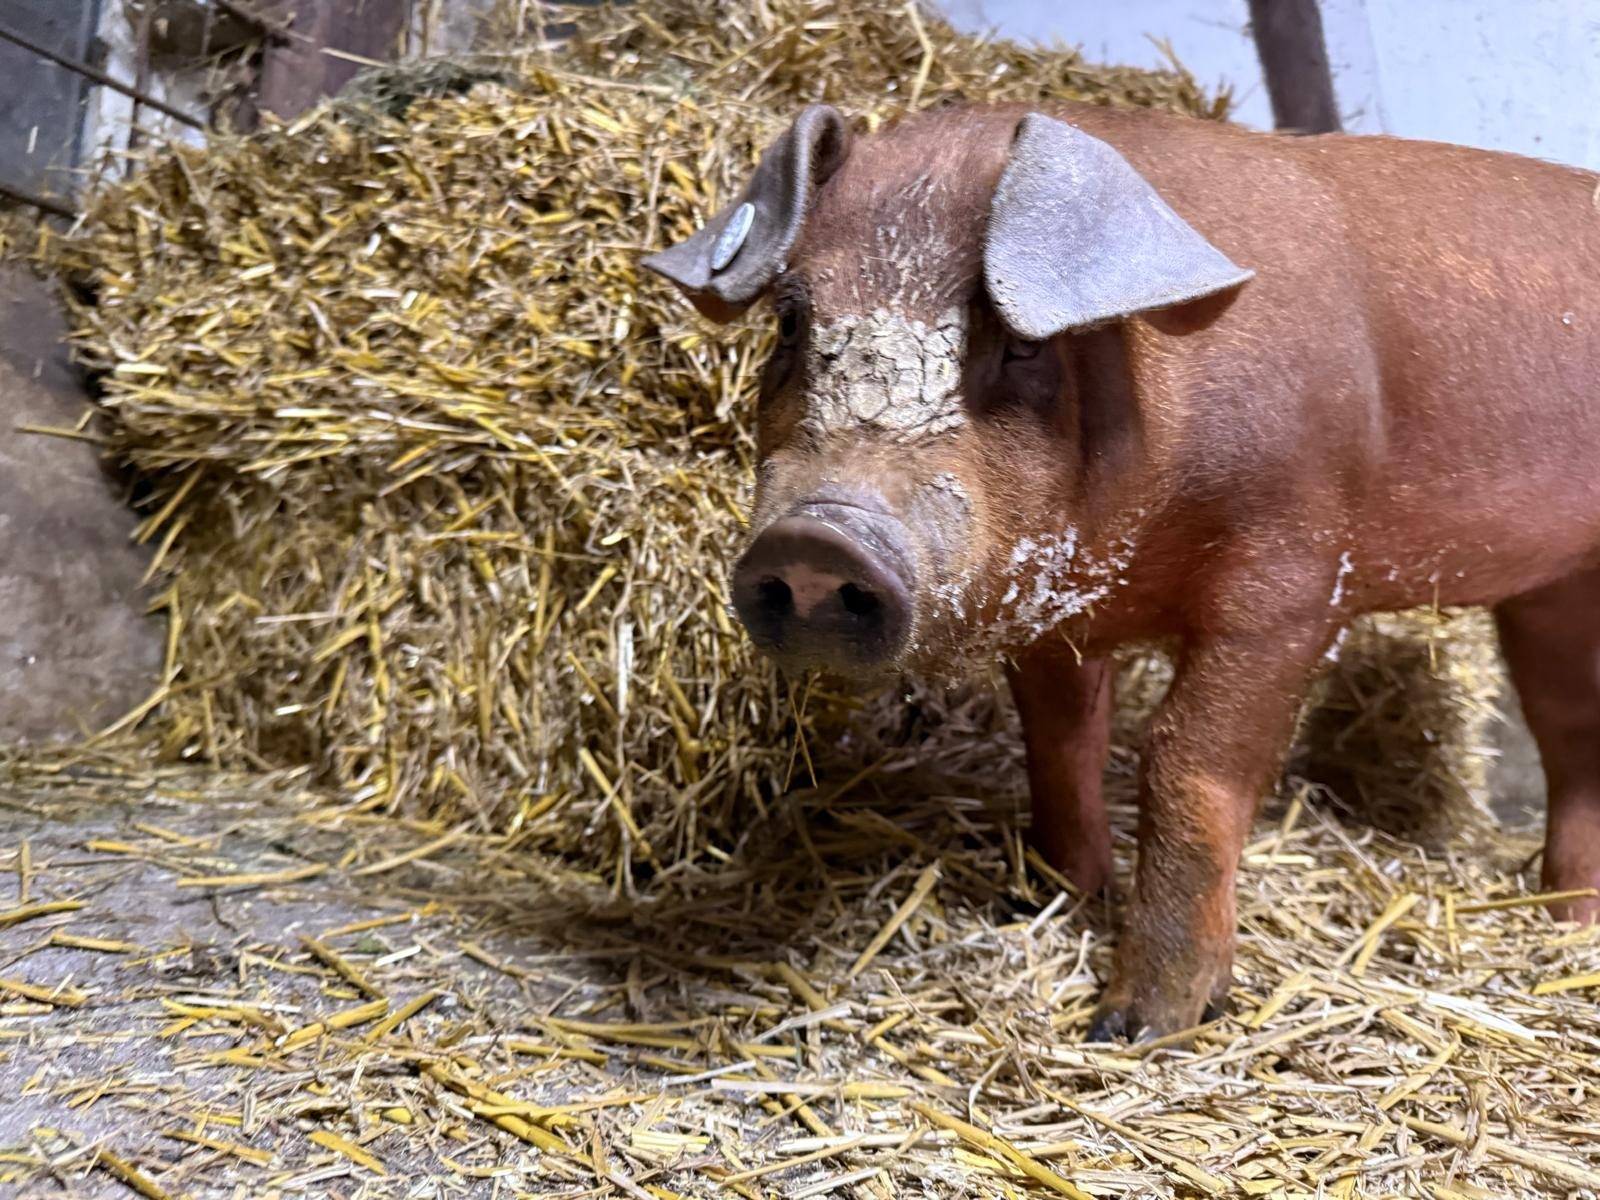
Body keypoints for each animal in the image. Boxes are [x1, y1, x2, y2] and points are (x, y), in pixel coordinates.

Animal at [642, 101, 1600, 1040]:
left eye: (1021, 347)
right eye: (791, 322)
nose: (818, 540)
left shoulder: (1291, 588)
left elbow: (1183, 764)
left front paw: (1138, 1025)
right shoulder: (1052, 617)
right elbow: (1061, 745)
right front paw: (1051, 898)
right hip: (1554, 595)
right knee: (1572, 739)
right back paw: (1564, 918)